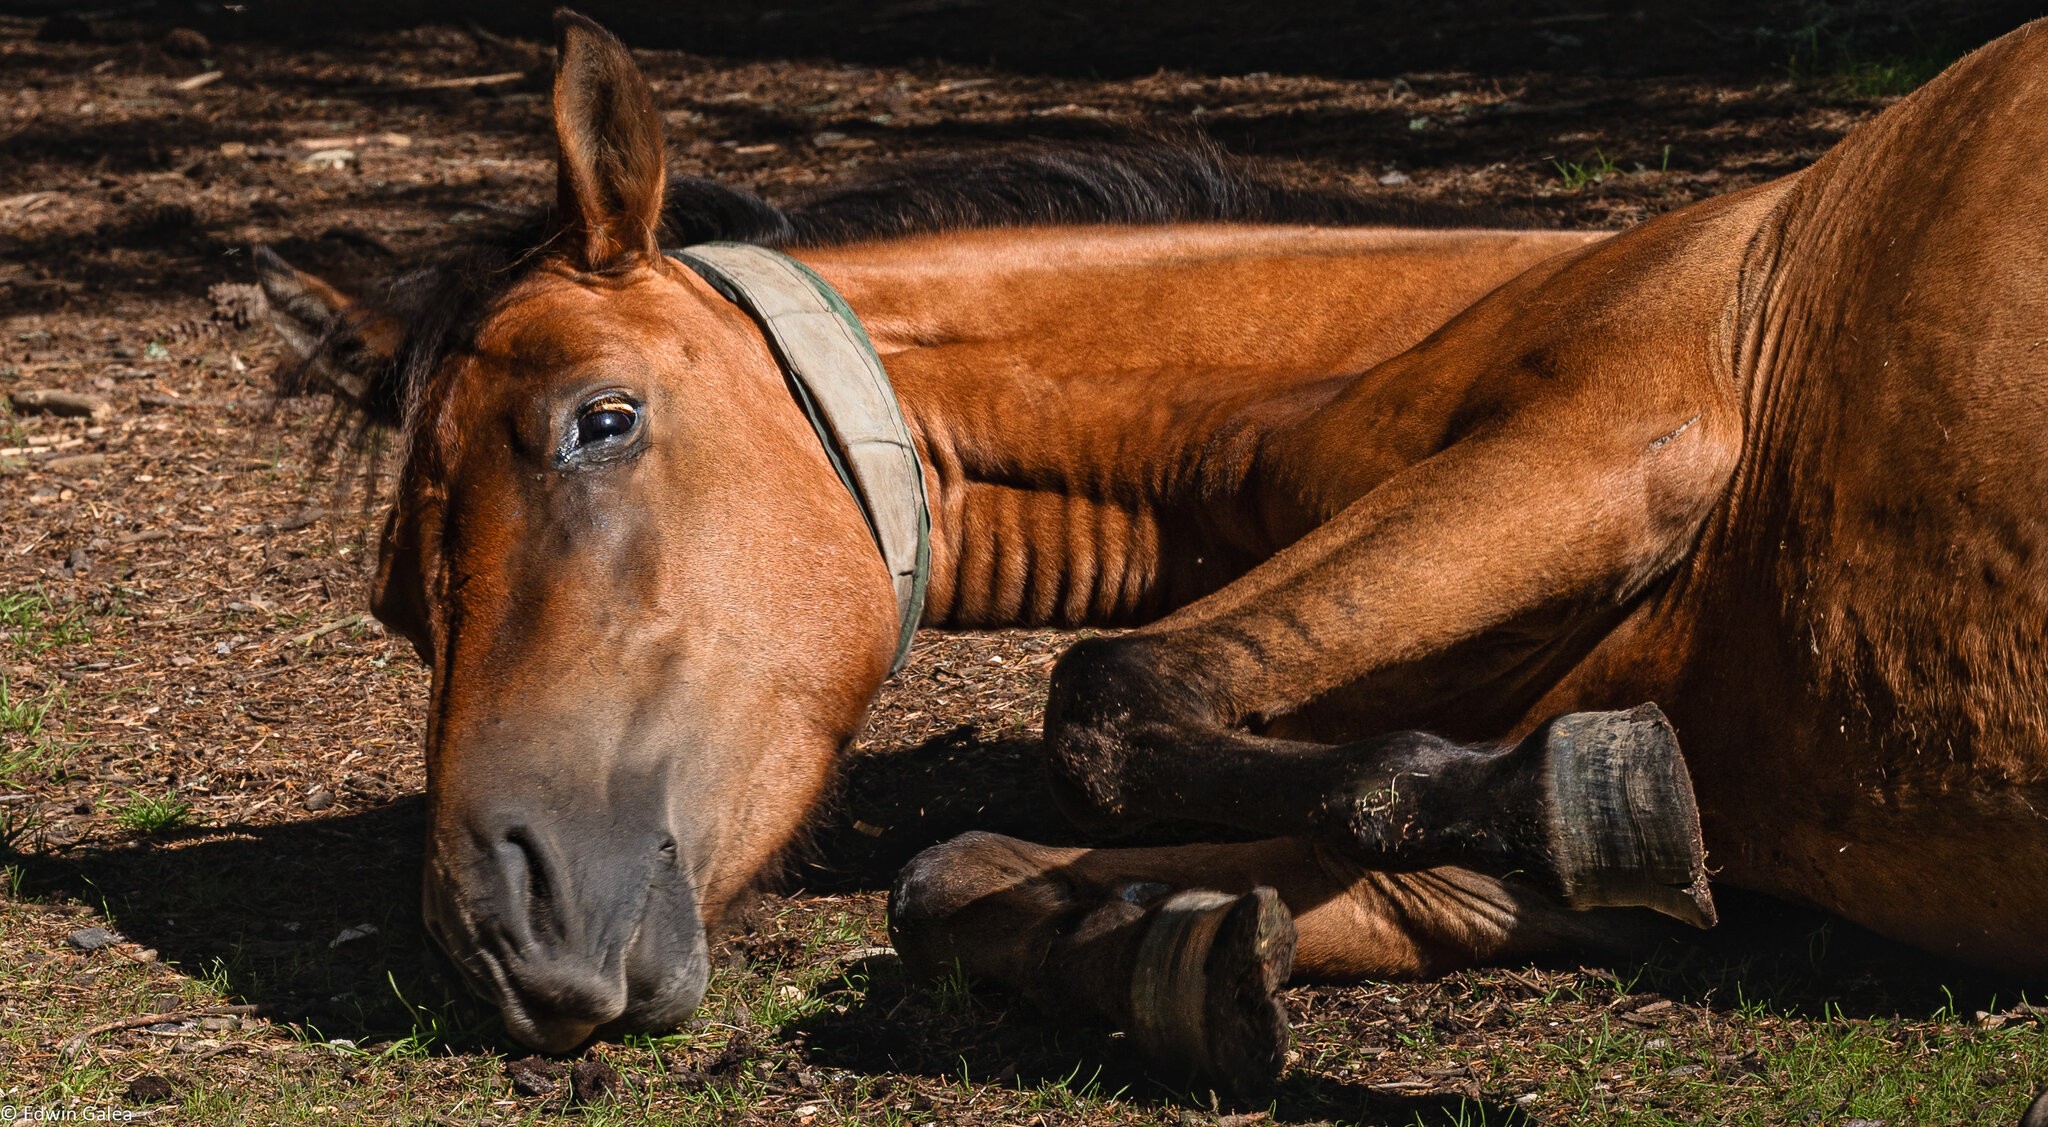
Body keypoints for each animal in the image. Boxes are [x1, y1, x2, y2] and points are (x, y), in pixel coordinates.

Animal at [264, 8, 2048, 1106]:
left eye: (602, 419)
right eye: (393, 602)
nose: (499, 933)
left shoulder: (1612, 445)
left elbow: (1108, 695)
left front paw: (1566, 794)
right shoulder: (1684, 861)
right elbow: (955, 873)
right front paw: (1180, 952)